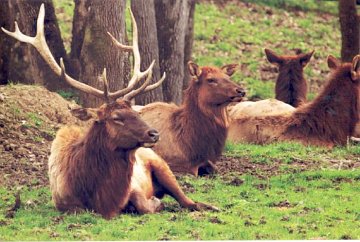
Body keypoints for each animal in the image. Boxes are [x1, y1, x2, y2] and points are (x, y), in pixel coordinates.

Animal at [2, 4, 218, 219]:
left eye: (136, 113)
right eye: (116, 117)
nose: (154, 133)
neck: (100, 197)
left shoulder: (133, 188)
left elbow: (141, 203)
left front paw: (155, 203)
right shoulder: (66, 204)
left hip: (162, 165)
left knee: (188, 200)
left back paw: (211, 206)